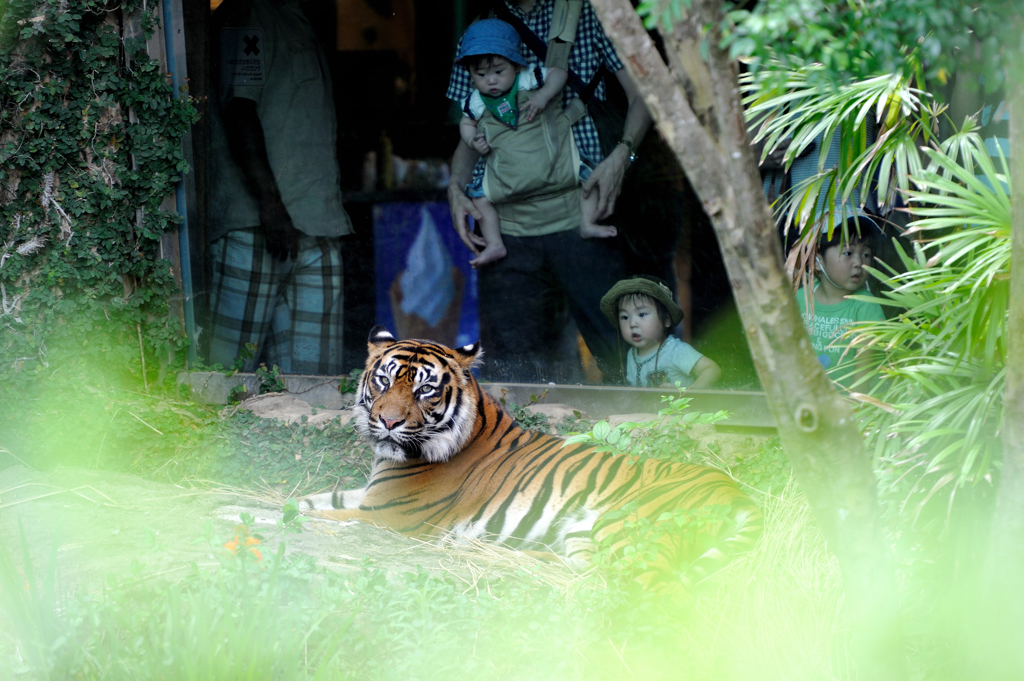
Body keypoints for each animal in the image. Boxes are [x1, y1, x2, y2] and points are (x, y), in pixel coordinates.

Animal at [296, 325, 761, 585]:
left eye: (425, 389)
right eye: (384, 381)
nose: (388, 422)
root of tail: (739, 494)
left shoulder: (384, 514)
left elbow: (317, 515)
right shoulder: (369, 494)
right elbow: (308, 501)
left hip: (621, 528)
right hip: (583, 533)